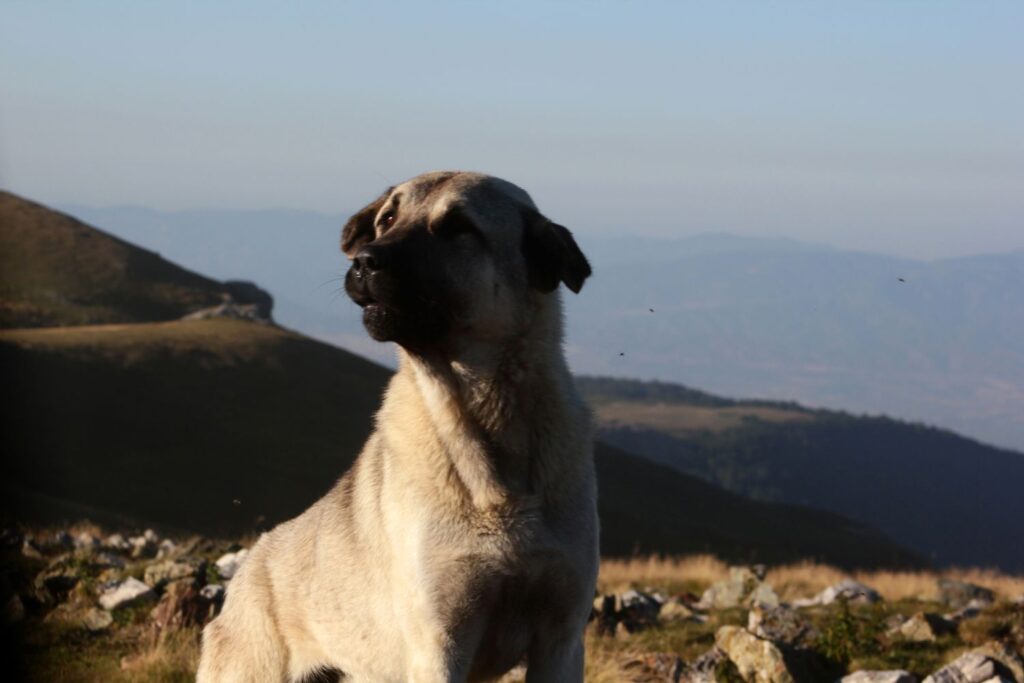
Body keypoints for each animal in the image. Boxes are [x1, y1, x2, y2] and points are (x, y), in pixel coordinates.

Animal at [197, 172, 598, 683]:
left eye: (458, 227)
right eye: (387, 219)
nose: (365, 262)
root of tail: (245, 572)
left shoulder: (560, 638)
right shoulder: (440, 641)